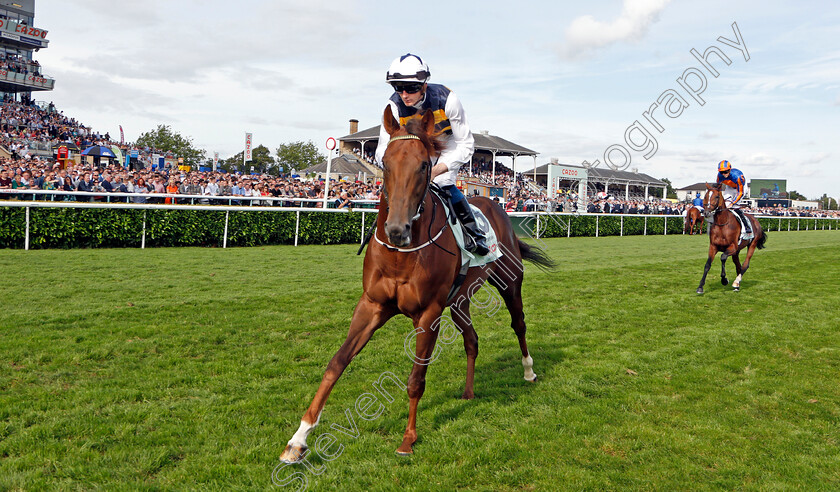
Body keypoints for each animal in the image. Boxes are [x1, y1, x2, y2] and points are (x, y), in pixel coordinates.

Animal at [282, 106, 556, 462]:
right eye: (384, 162)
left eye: (425, 164)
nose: (397, 230)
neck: (401, 255)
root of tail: (497, 207)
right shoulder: (372, 305)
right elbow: (336, 363)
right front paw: (298, 439)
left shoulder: (429, 313)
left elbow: (416, 378)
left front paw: (408, 439)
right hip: (460, 301)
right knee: (472, 339)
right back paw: (468, 392)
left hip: (509, 281)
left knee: (519, 324)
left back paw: (528, 371)